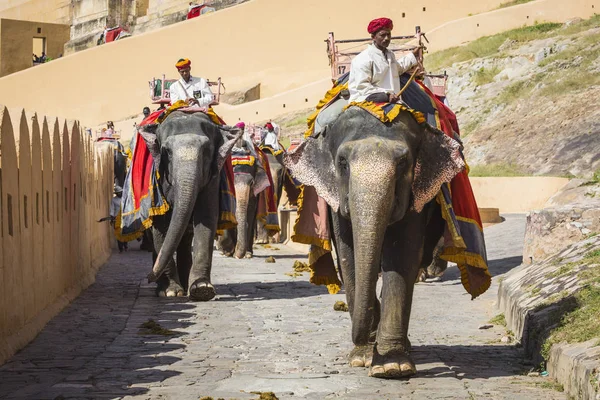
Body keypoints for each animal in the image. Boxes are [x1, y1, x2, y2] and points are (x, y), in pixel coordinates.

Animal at [141, 111, 241, 298]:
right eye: (167, 152)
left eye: (207, 150)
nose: (148, 277)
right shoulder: (158, 179)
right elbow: (161, 222)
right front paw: (171, 292)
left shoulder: (213, 177)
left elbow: (206, 216)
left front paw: (202, 289)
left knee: (185, 241)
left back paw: (186, 284)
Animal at [288, 104, 468, 378]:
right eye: (342, 163)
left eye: (403, 163)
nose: (363, 340)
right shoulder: (336, 200)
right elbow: (349, 255)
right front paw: (362, 358)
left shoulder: (414, 196)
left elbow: (403, 253)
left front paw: (392, 367)